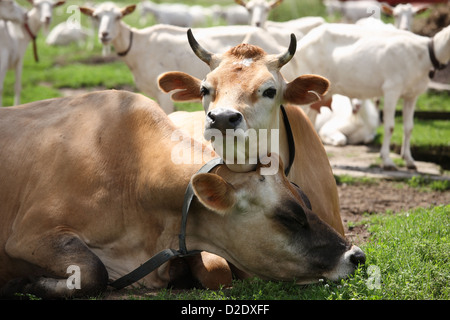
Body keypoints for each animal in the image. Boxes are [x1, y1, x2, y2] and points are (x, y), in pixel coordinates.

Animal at [0, 89, 366, 298]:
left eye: (307, 202)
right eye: (289, 216)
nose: (357, 256)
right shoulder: (31, 233)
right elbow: (93, 272)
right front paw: (27, 283)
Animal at [292, 23, 450, 170]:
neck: (424, 53)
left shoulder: (412, 95)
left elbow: (409, 127)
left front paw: (410, 161)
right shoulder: (392, 89)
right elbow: (390, 127)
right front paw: (387, 161)